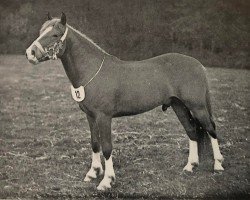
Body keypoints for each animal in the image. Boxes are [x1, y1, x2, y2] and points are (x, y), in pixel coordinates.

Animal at [25, 12, 225, 191]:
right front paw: (93, 172)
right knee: (192, 131)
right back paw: (190, 166)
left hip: (197, 107)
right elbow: (95, 143)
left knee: (211, 129)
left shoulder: (104, 117)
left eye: (55, 34)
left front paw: (106, 181)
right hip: (179, 106)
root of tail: (198, 64)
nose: (30, 53)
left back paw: (218, 165)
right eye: (41, 31)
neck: (92, 71)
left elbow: (107, 147)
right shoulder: (90, 117)